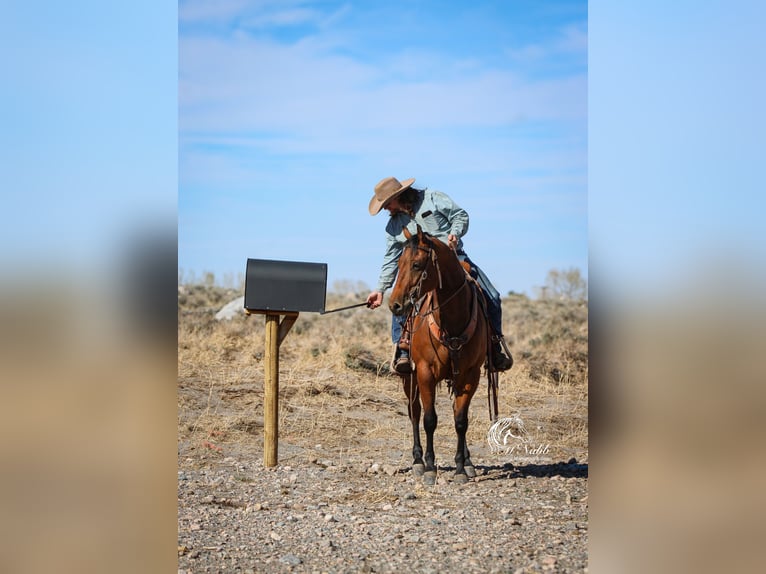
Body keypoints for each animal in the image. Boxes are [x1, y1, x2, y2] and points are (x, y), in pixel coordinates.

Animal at [388, 225, 495, 485]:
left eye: (417, 264)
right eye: (399, 263)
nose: (395, 304)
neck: (452, 321)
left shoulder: (470, 375)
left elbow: (460, 421)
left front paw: (460, 469)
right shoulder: (425, 372)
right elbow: (429, 420)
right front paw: (429, 467)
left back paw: (468, 462)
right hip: (409, 378)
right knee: (414, 413)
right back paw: (417, 460)